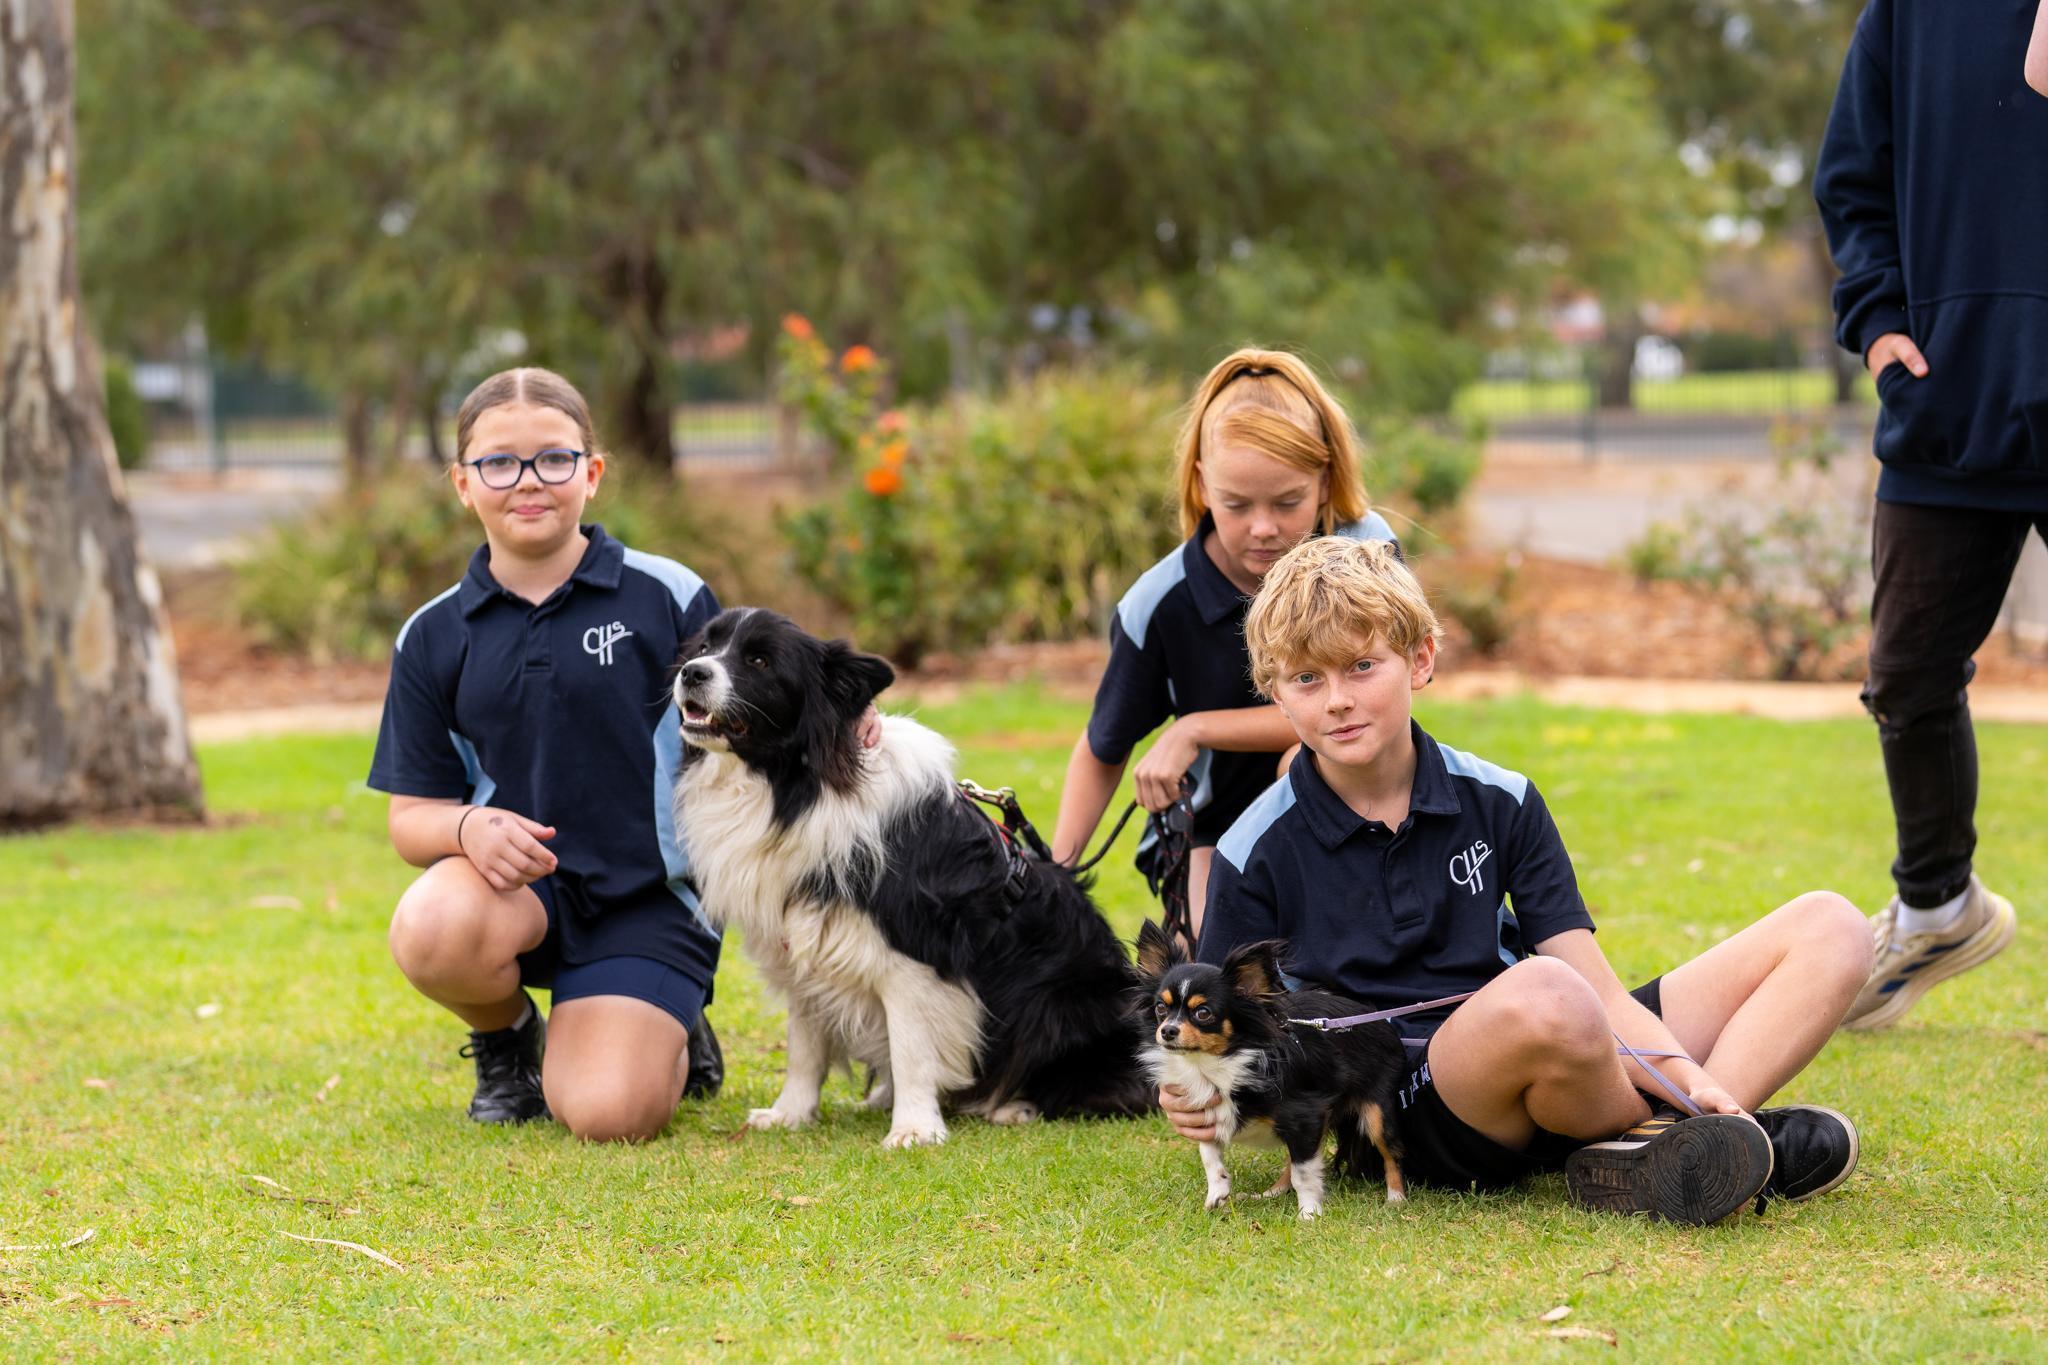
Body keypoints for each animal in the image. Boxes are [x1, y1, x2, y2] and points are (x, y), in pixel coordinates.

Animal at [670, 607, 1153, 1148]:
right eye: (703, 648)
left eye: (759, 660)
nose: (691, 673)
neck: (796, 785)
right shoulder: (803, 945)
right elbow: (805, 1046)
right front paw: (790, 1114)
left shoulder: (917, 956)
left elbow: (911, 1049)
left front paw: (915, 1128)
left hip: (1059, 1003)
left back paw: (1011, 1105)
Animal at [1135, 920, 1410, 1219]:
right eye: (1161, 1008)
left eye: (1203, 1013)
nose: (1168, 1031)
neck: (1212, 1065)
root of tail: (1378, 1020)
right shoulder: (1206, 1113)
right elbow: (1209, 1154)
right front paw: (1217, 1191)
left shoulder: (1304, 1116)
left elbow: (1304, 1172)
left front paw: (1309, 1213)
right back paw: (1271, 1193)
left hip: (1377, 1114)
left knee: (1391, 1152)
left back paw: (1396, 1199)